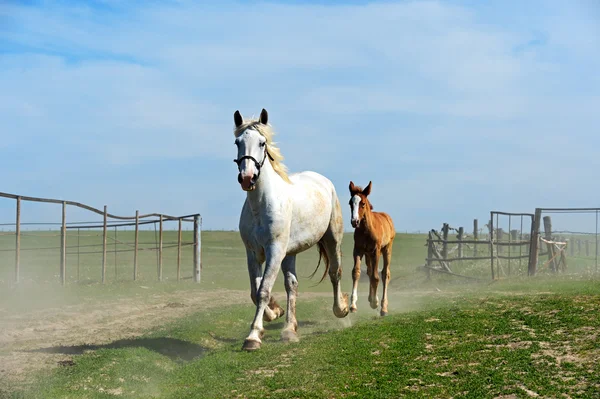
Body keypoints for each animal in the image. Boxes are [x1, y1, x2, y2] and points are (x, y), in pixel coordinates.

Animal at [232, 108, 350, 350]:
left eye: (262, 143)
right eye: (237, 142)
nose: (247, 177)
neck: (261, 206)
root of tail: (323, 180)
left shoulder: (275, 250)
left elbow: (263, 291)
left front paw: (253, 336)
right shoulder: (253, 253)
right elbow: (254, 291)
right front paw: (273, 313)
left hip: (332, 239)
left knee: (335, 272)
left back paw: (340, 310)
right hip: (290, 253)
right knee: (292, 285)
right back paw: (289, 329)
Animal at [346, 181, 394, 316]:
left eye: (362, 203)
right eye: (350, 203)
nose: (354, 221)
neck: (366, 230)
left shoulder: (375, 251)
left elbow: (376, 277)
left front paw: (375, 303)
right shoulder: (358, 250)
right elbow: (356, 272)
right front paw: (353, 305)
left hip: (386, 249)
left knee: (385, 274)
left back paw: (383, 307)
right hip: (368, 255)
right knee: (369, 271)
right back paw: (372, 298)